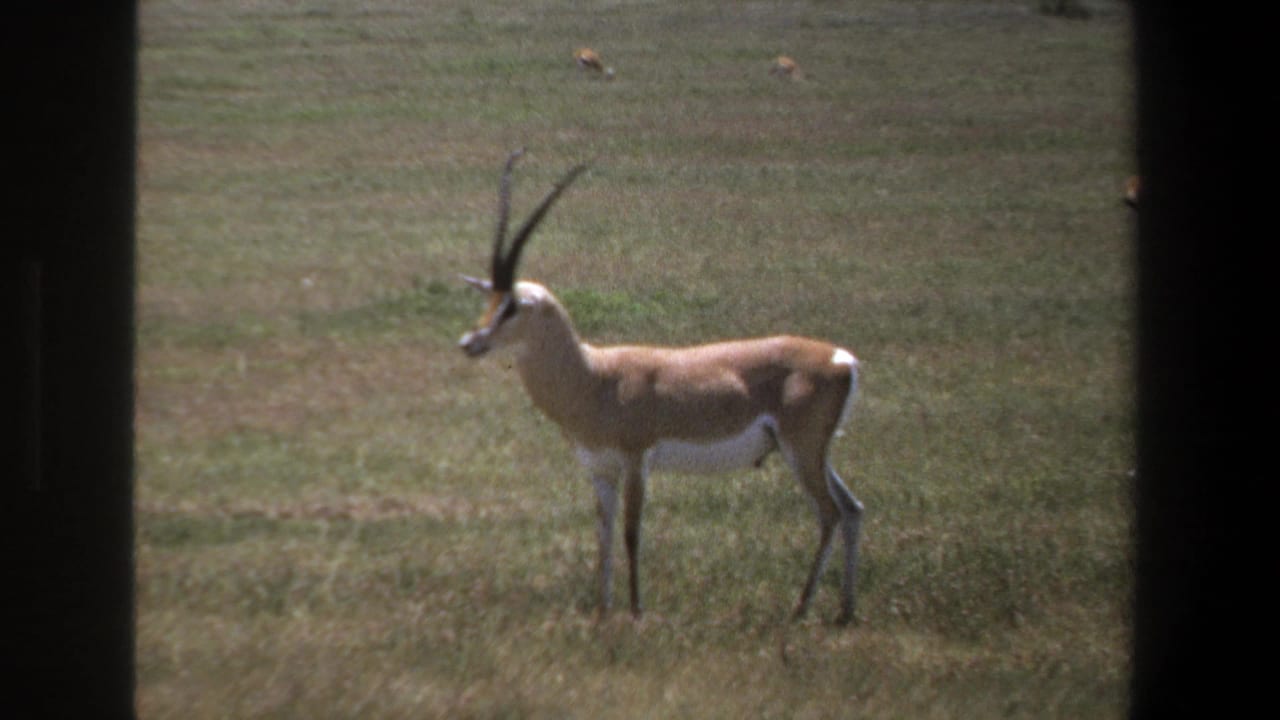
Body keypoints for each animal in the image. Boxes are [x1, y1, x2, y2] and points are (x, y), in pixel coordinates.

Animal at [458, 150, 865, 624]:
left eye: (512, 306)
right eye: (489, 300)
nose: (470, 342)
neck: (595, 377)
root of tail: (841, 358)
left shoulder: (637, 461)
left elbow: (632, 533)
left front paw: (636, 612)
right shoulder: (600, 470)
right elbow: (603, 535)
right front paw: (603, 612)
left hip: (801, 450)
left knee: (830, 513)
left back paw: (800, 610)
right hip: (812, 452)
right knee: (852, 510)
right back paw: (844, 611)